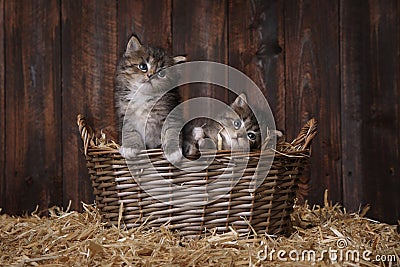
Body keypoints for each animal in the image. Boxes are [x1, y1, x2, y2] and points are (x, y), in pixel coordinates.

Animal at [114, 34, 186, 162]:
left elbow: (171, 131)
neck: (143, 95)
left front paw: (173, 152)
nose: (150, 75)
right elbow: (129, 131)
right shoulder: (125, 114)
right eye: (143, 66)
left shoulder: (171, 113)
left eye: (161, 74)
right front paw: (129, 148)